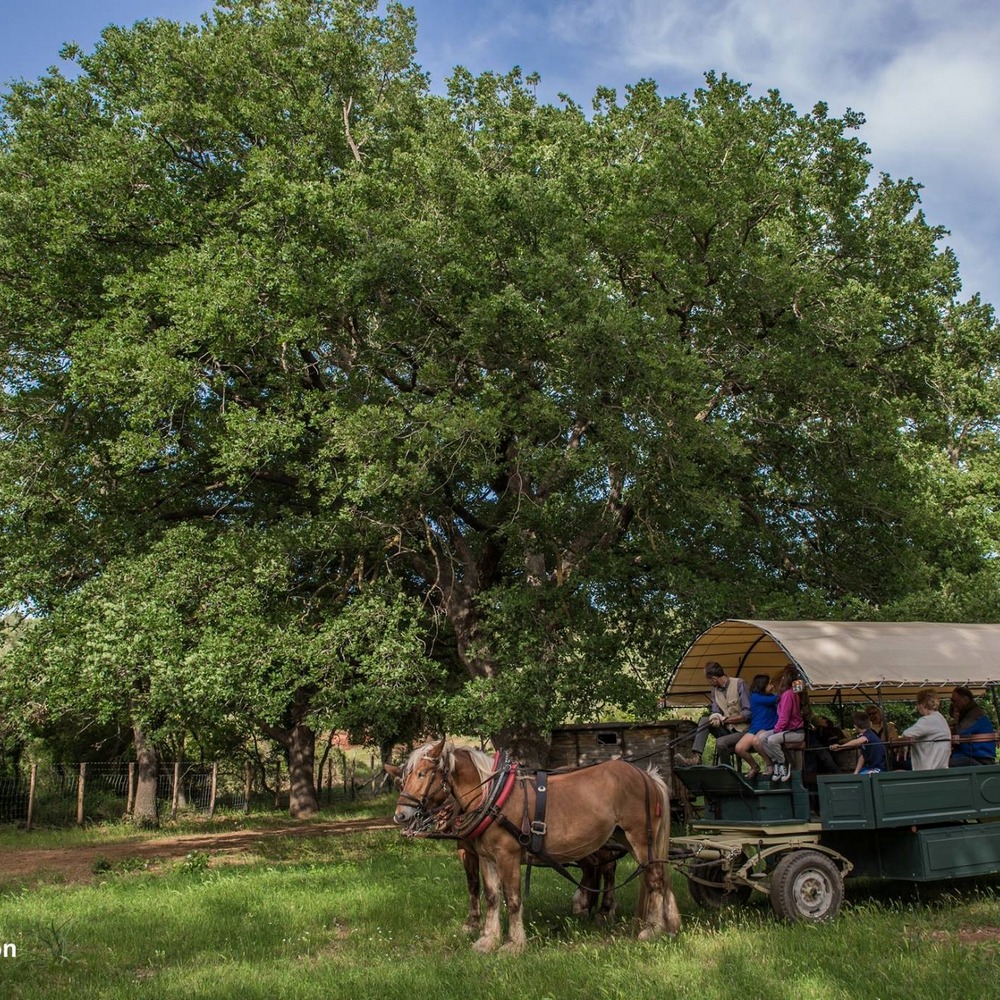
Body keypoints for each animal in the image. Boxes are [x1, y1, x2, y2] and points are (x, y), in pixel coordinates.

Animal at [386, 740, 676, 948]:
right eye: (403, 778)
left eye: (422, 774)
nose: (401, 815)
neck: (492, 798)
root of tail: (646, 775)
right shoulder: (486, 857)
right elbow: (491, 896)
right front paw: (487, 940)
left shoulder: (508, 856)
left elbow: (512, 899)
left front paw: (513, 944)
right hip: (620, 838)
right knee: (643, 874)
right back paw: (661, 922)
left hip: (640, 838)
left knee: (652, 878)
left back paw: (651, 928)